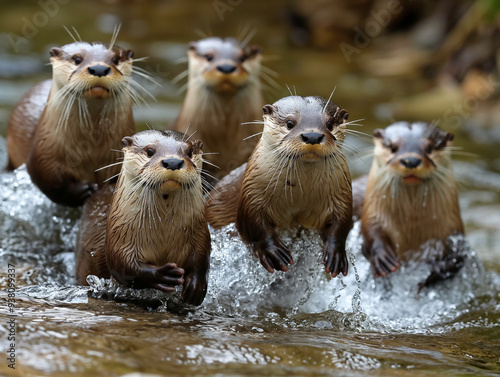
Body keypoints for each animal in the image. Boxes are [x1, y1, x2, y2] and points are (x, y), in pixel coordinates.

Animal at [6, 39, 146, 206]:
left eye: (116, 60)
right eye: (77, 59)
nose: (99, 68)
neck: (91, 147)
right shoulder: (43, 153)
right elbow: (50, 183)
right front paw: (84, 190)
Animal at [76, 129, 211, 306]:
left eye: (189, 152)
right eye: (150, 151)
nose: (172, 162)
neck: (164, 234)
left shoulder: (200, 232)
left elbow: (202, 256)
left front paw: (196, 286)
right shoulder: (119, 235)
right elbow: (123, 265)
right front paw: (162, 275)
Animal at [205, 95, 354, 274]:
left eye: (330, 124)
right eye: (290, 123)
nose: (312, 136)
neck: (299, 193)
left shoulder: (342, 195)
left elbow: (341, 223)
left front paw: (335, 255)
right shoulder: (251, 193)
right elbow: (254, 223)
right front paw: (274, 252)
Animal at [358, 122, 466, 286]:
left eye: (430, 148)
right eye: (393, 147)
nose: (411, 160)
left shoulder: (453, 226)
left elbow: (458, 255)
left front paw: (431, 273)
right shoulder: (372, 213)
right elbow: (370, 229)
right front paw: (383, 258)